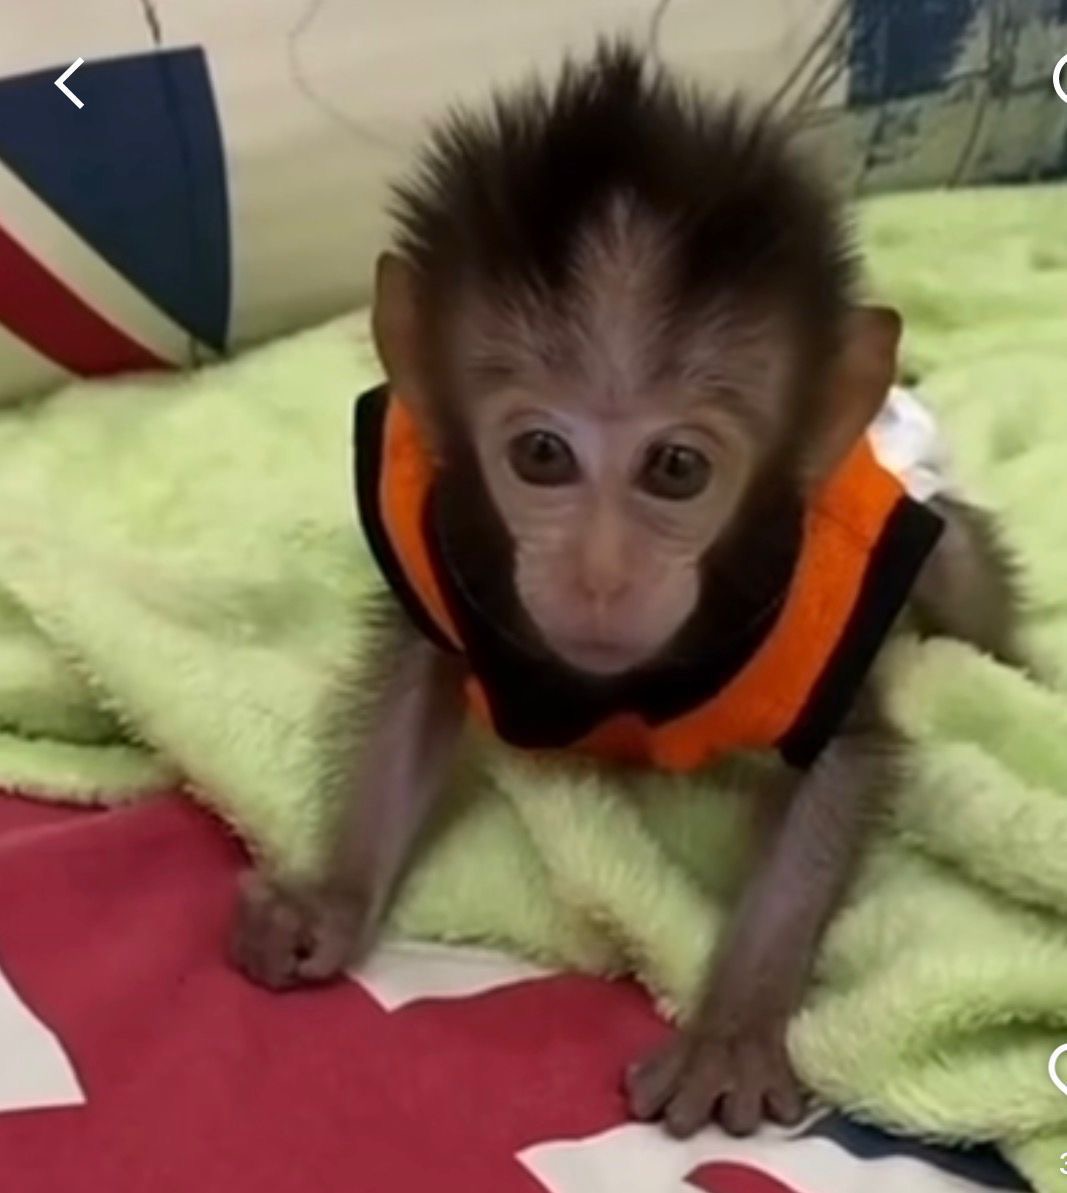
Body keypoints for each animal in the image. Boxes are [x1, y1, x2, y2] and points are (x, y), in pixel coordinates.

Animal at [230, 41, 1029, 1139]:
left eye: (676, 469)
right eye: (540, 454)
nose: (601, 573)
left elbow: (840, 767)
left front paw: (729, 1028)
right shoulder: (439, 551)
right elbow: (415, 685)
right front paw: (336, 898)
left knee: (960, 575)